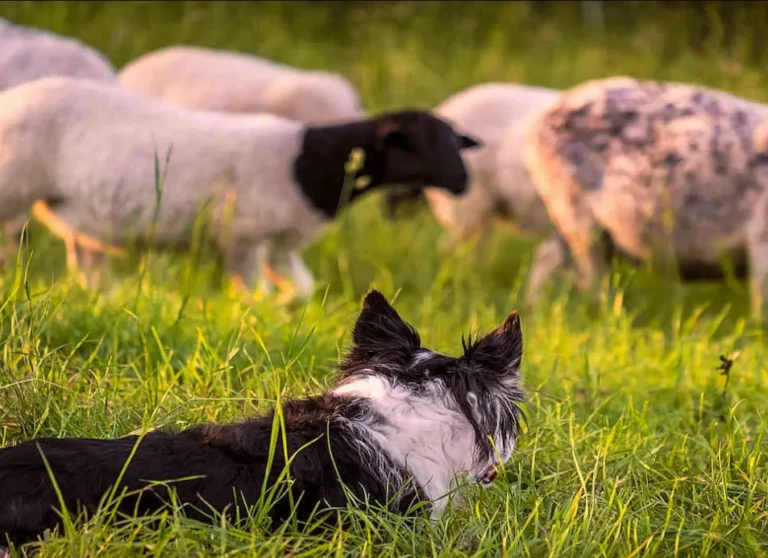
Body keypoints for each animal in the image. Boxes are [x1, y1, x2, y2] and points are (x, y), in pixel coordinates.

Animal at [0, 77, 480, 299]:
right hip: (12, 190)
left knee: (85, 264)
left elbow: (301, 289)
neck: (308, 165)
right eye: (417, 144)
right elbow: (255, 294)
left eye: (454, 141)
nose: (463, 182)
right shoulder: (244, 238)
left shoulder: (282, 243)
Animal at [523, 75, 768, 319]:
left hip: (567, 215)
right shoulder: (760, 240)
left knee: (548, 258)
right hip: (574, 210)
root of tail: (543, 117)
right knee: (590, 278)